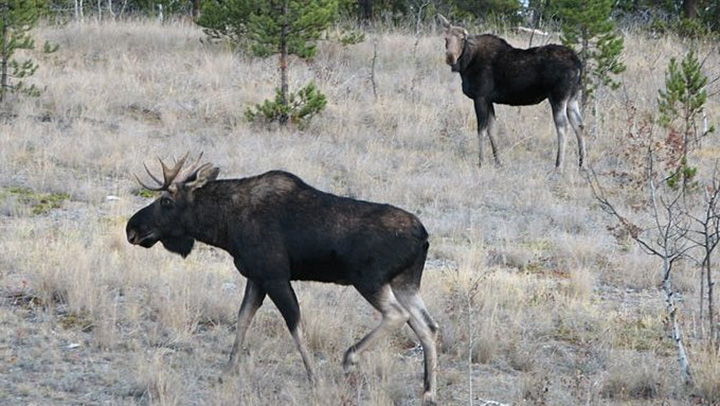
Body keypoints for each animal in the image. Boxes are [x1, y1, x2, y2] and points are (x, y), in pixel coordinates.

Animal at [125, 153, 439, 405]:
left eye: (166, 200)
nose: (132, 229)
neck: (224, 227)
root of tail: (423, 237)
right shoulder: (256, 278)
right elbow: (243, 320)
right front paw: (227, 370)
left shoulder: (274, 276)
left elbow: (295, 325)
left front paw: (314, 376)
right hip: (405, 283)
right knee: (428, 327)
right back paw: (428, 390)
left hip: (369, 279)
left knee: (397, 316)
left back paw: (350, 358)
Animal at [438, 14, 586, 171]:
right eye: (446, 38)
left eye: (462, 39)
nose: (450, 57)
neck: (467, 64)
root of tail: (578, 64)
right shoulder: (489, 99)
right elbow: (492, 130)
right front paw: (498, 162)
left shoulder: (480, 97)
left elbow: (481, 131)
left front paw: (481, 162)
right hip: (572, 98)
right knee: (579, 125)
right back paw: (582, 165)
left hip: (558, 97)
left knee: (563, 127)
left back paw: (559, 166)